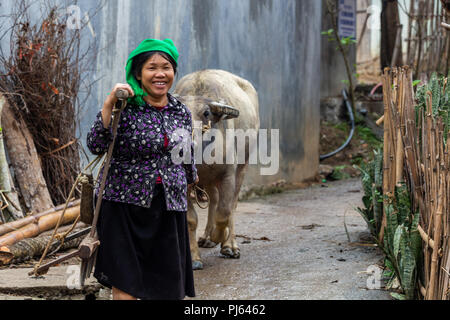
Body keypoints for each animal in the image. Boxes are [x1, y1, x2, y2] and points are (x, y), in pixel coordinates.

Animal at [175, 70, 260, 270]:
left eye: (206, 113)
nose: (186, 141)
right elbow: (191, 219)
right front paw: (194, 258)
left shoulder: (228, 175)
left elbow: (224, 213)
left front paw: (221, 238)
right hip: (208, 180)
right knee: (213, 199)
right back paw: (207, 237)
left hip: (242, 168)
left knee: (232, 205)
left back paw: (229, 245)